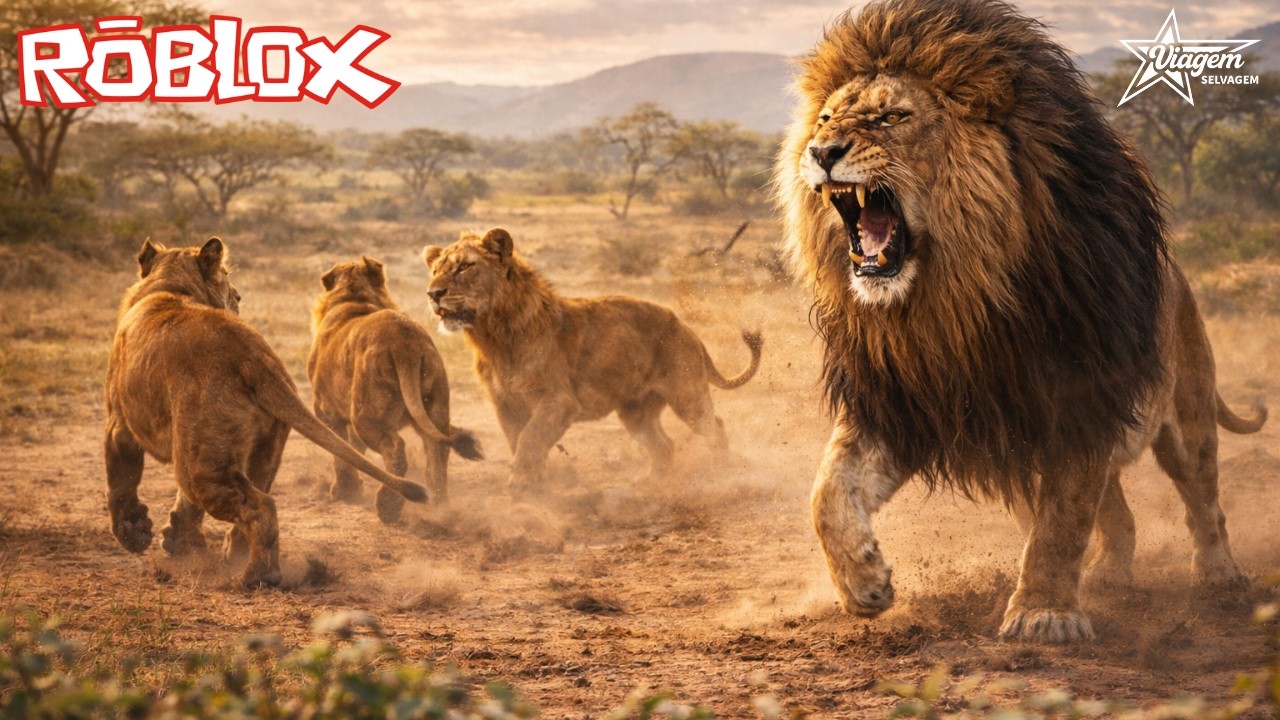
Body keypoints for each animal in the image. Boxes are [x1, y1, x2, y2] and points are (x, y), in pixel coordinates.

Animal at [104, 238, 427, 587]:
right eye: (227, 277)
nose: (238, 297)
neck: (170, 286)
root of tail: (253, 356)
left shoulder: (119, 425)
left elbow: (120, 483)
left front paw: (134, 534)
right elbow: (185, 507)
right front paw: (178, 541)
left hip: (198, 465)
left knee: (260, 506)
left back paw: (259, 575)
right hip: (261, 448)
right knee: (258, 497)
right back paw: (241, 557)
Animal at [309, 255, 483, 519]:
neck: (354, 297)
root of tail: (404, 341)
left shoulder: (326, 411)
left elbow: (342, 452)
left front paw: (345, 492)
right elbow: (353, 449)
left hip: (366, 416)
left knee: (396, 449)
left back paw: (389, 506)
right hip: (434, 406)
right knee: (438, 450)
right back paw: (440, 507)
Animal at [421, 228, 762, 490]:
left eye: (464, 267)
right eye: (435, 270)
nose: (433, 294)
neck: (492, 336)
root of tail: (685, 327)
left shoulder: (559, 400)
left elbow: (530, 439)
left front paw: (522, 482)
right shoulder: (504, 403)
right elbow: (519, 440)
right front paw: (536, 484)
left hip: (687, 396)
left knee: (714, 426)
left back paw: (724, 474)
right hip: (636, 411)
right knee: (663, 445)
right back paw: (651, 482)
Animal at [774, 0, 1267, 643]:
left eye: (891, 117)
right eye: (826, 117)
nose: (822, 151)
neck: (953, 306)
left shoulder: (1077, 401)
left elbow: (1061, 520)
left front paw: (1043, 614)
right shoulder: (902, 403)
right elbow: (828, 492)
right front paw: (865, 583)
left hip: (1186, 417)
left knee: (1204, 500)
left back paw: (1219, 578)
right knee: (1120, 516)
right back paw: (1110, 576)